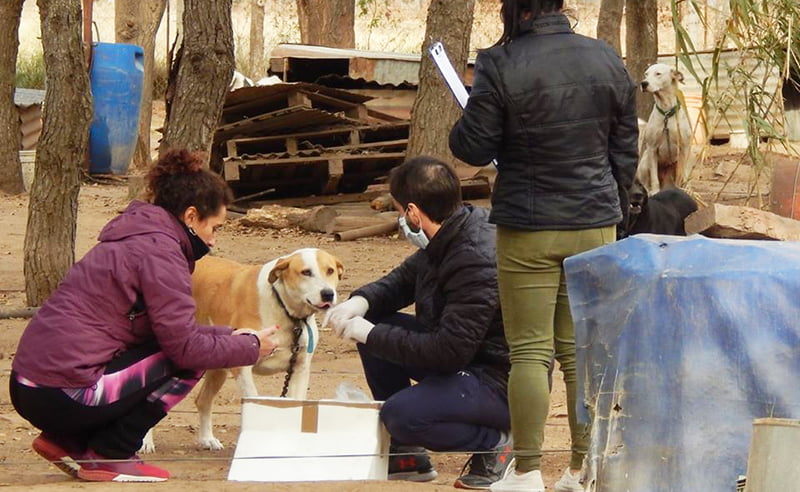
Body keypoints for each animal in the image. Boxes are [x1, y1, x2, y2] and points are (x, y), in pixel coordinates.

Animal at [142, 248, 342, 452]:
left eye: (330, 270)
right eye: (306, 272)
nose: (328, 294)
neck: (284, 309)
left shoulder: (300, 369)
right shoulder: (243, 368)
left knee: (203, 400)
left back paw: (207, 439)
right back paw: (145, 442)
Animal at [636, 64, 692, 195]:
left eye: (658, 74)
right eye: (646, 74)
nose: (643, 83)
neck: (666, 112)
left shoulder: (685, 147)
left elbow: (681, 175)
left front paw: (682, 190)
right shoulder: (652, 148)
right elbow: (654, 178)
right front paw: (655, 192)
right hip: (645, 162)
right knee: (646, 183)